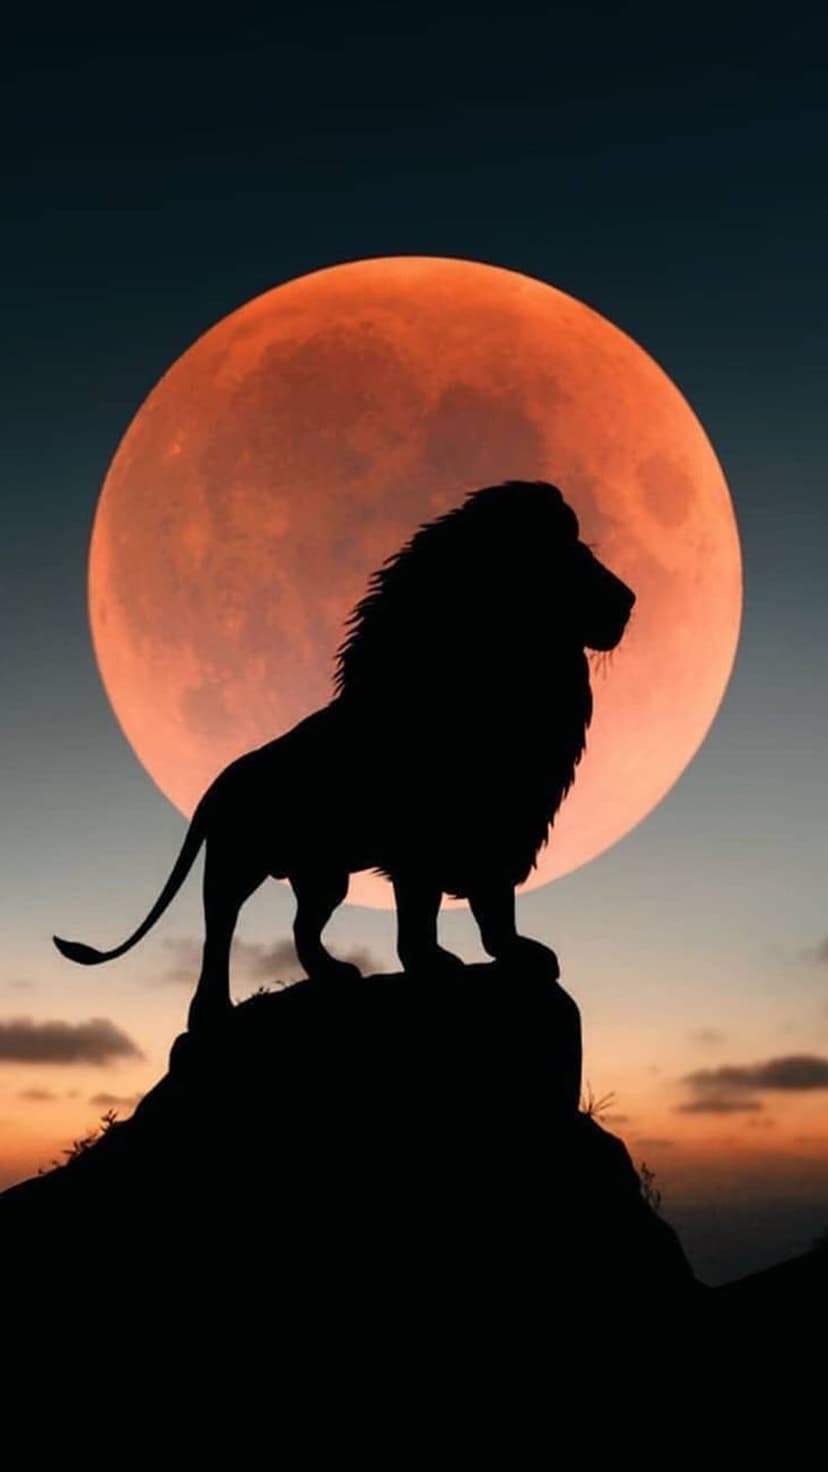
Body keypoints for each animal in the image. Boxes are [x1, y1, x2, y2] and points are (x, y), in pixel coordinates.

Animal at [54, 480, 635, 1030]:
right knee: (218, 933)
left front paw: (515, 954)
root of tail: (217, 785)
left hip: (322, 874)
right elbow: (423, 914)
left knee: (302, 929)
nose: (629, 600)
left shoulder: (504, 831)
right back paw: (210, 1012)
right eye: (566, 556)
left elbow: (494, 910)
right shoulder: (424, 846)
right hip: (235, 864)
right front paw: (434, 964)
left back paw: (334, 974)